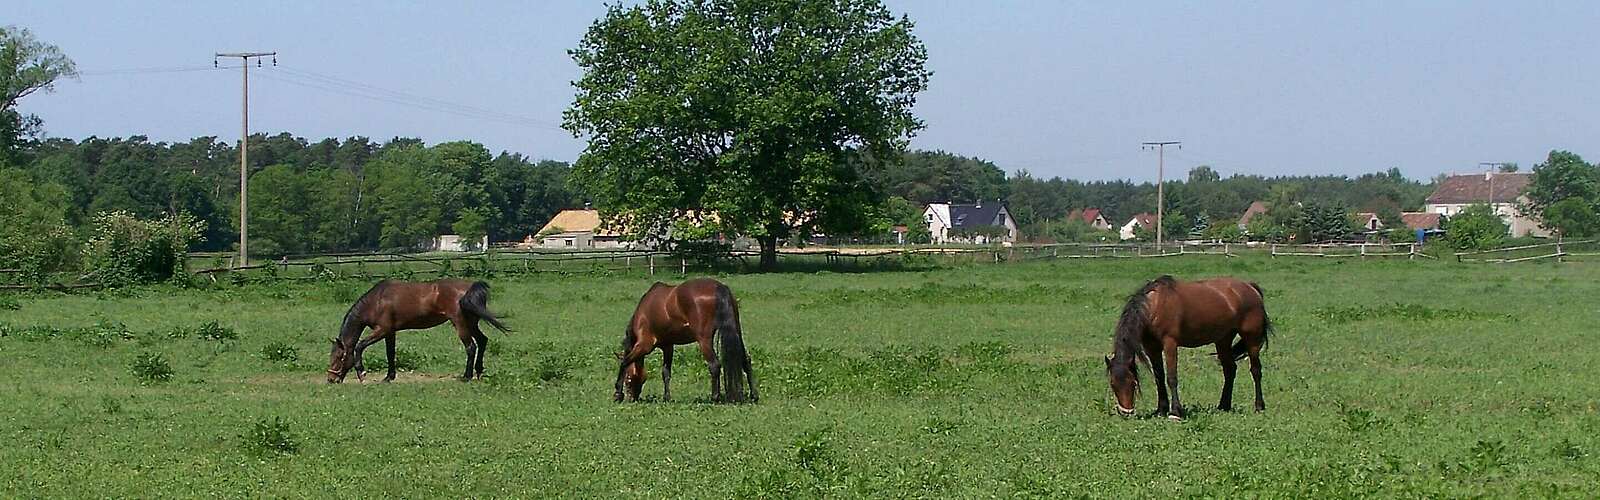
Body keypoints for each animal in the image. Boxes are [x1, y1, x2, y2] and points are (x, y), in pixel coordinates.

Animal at [320, 277, 505, 383]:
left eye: (338, 357)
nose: (331, 379)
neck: (376, 301)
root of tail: (470, 287)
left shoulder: (382, 330)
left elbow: (359, 346)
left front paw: (361, 372)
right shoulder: (390, 332)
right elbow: (390, 353)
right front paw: (389, 377)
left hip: (460, 323)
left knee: (471, 347)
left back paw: (466, 376)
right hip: (471, 323)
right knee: (482, 341)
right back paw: (478, 372)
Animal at [617, 277, 755, 402]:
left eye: (628, 379)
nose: (632, 398)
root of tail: (719, 287)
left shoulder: (644, 345)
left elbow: (624, 363)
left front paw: (617, 394)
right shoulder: (668, 346)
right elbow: (666, 372)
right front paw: (667, 398)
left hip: (704, 340)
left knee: (714, 365)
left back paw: (715, 397)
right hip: (736, 332)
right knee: (745, 361)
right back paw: (754, 395)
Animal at [1100, 275, 1273, 419]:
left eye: (1133, 383)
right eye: (1113, 384)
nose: (1126, 412)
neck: (1154, 307)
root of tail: (1250, 286)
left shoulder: (1170, 344)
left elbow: (1171, 377)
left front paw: (1175, 412)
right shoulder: (1152, 348)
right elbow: (1159, 377)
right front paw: (1161, 410)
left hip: (1252, 339)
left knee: (1256, 371)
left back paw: (1259, 406)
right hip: (1222, 340)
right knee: (1230, 370)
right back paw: (1223, 406)